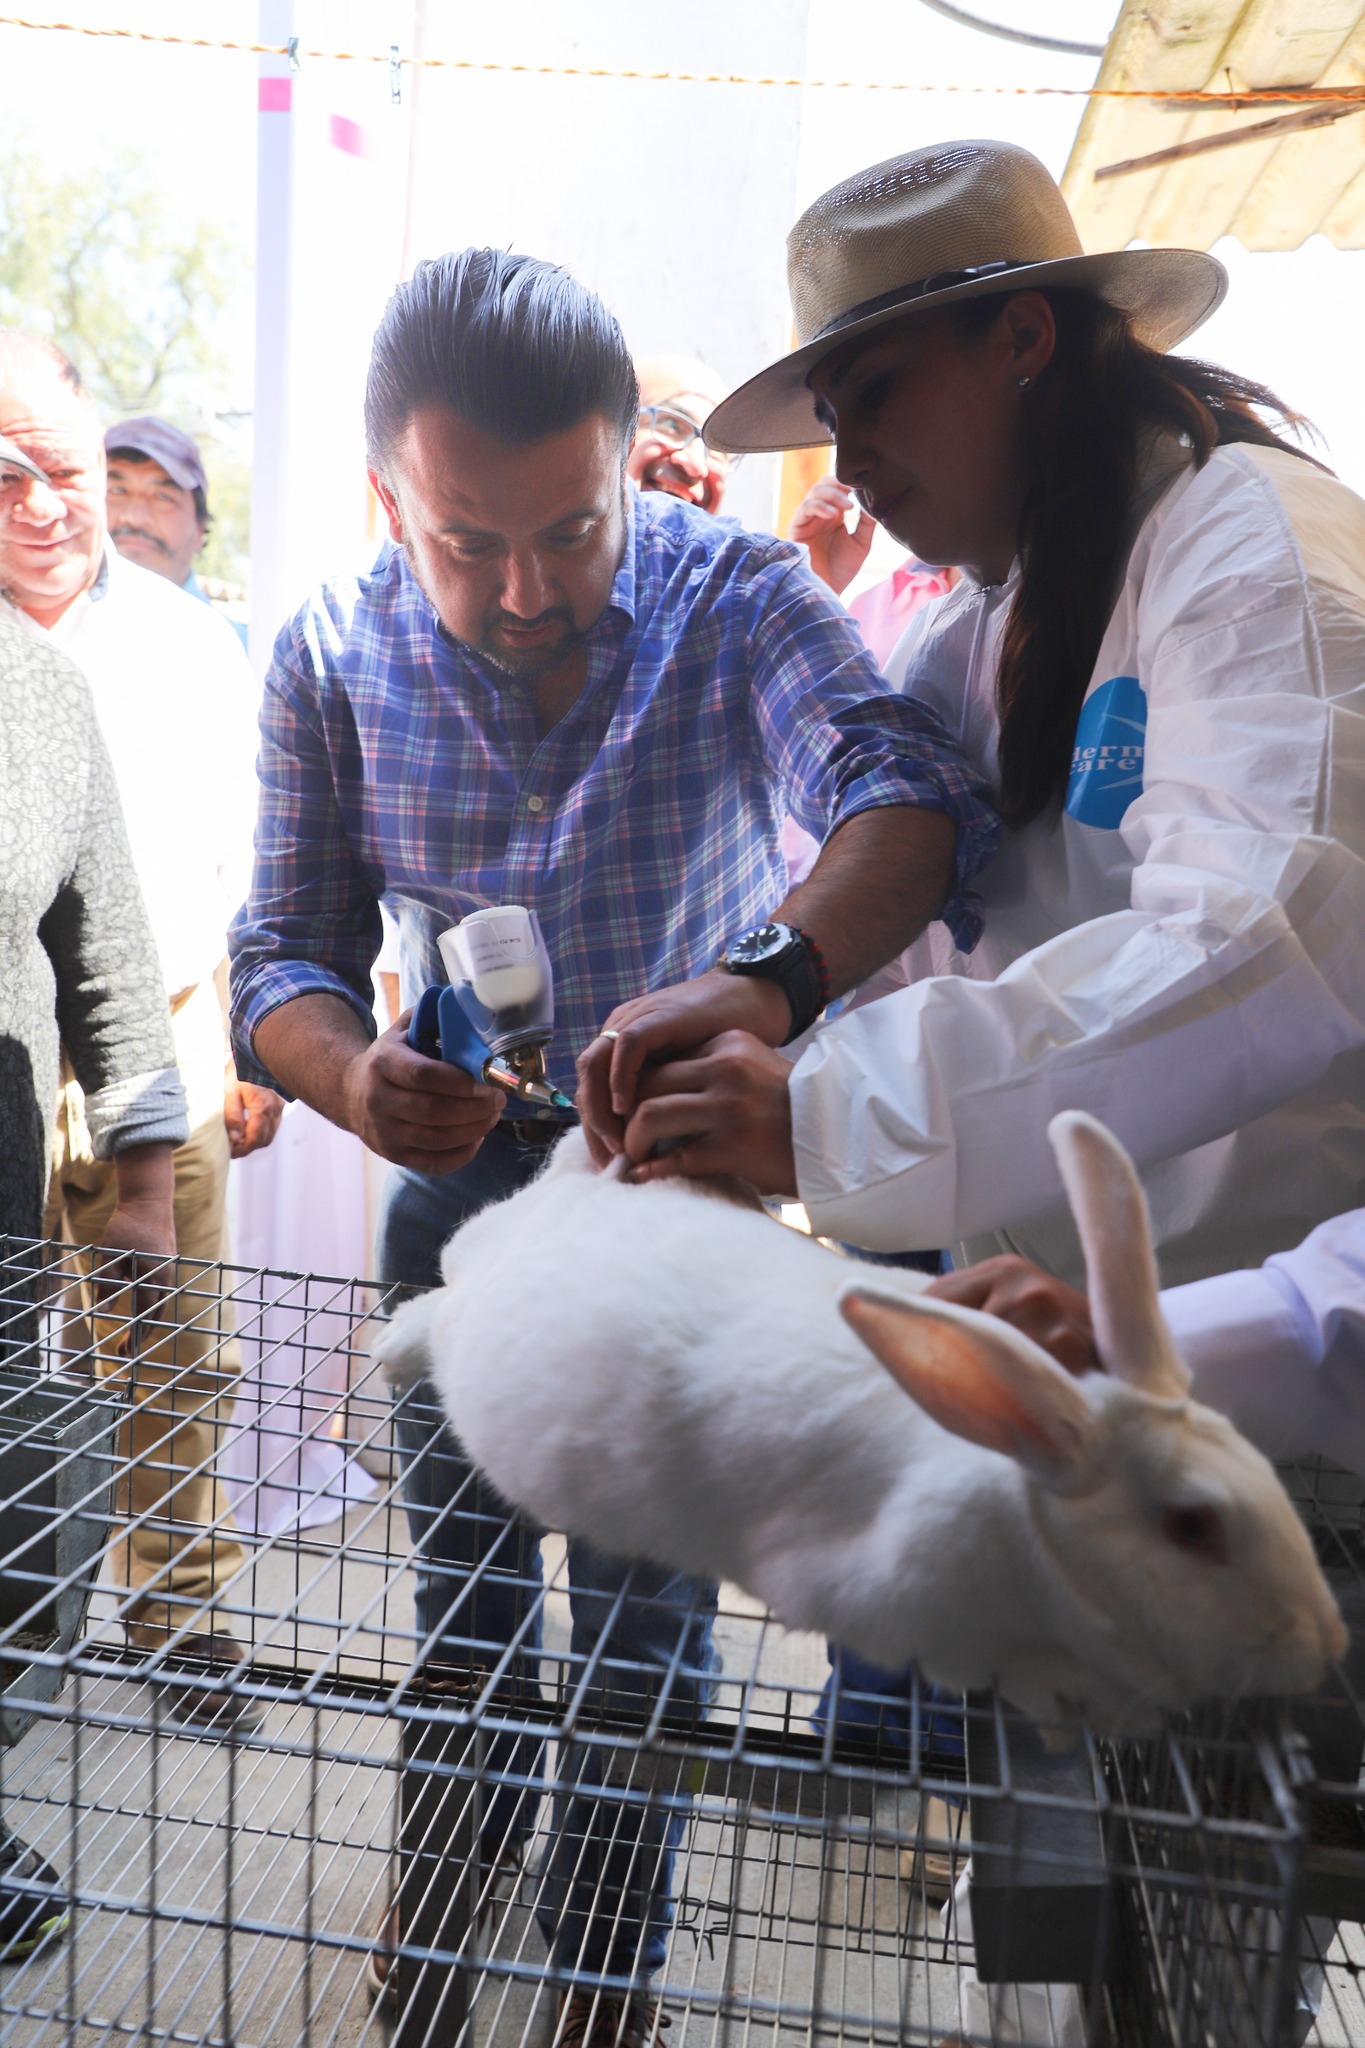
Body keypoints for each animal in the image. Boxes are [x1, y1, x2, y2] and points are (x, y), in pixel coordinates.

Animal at [374, 1114, 1342, 1736]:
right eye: (1193, 1526)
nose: (1323, 1646)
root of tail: (591, 1182)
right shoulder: (908, 1608)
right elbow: (1017, 1675)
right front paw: (1084, 1703)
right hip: (472, 1299)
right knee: (440, 1293)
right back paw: (389, 1350)